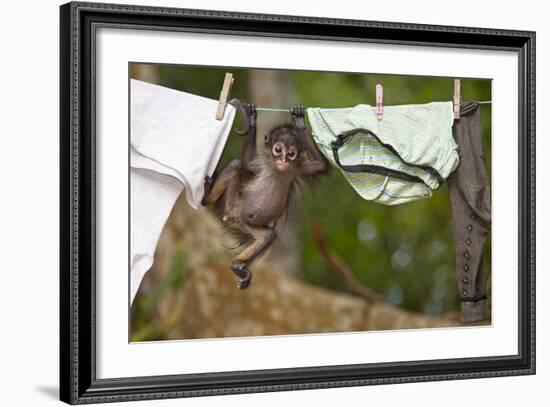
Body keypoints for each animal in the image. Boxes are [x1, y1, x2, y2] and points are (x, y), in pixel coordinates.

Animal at [204, 99, 330, 290]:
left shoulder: (297, 168)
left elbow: (321, 165)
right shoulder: (262, 163)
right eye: (278, 149)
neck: (278, 170)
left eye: (291, 153)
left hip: (247, 223)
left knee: (268, 236)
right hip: (234, 203)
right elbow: (247, 163)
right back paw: (206, 198)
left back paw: (237, 265)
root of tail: (233, 216)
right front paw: (251, 120)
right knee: (236, 164)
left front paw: (299, 122)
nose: (283, 160)